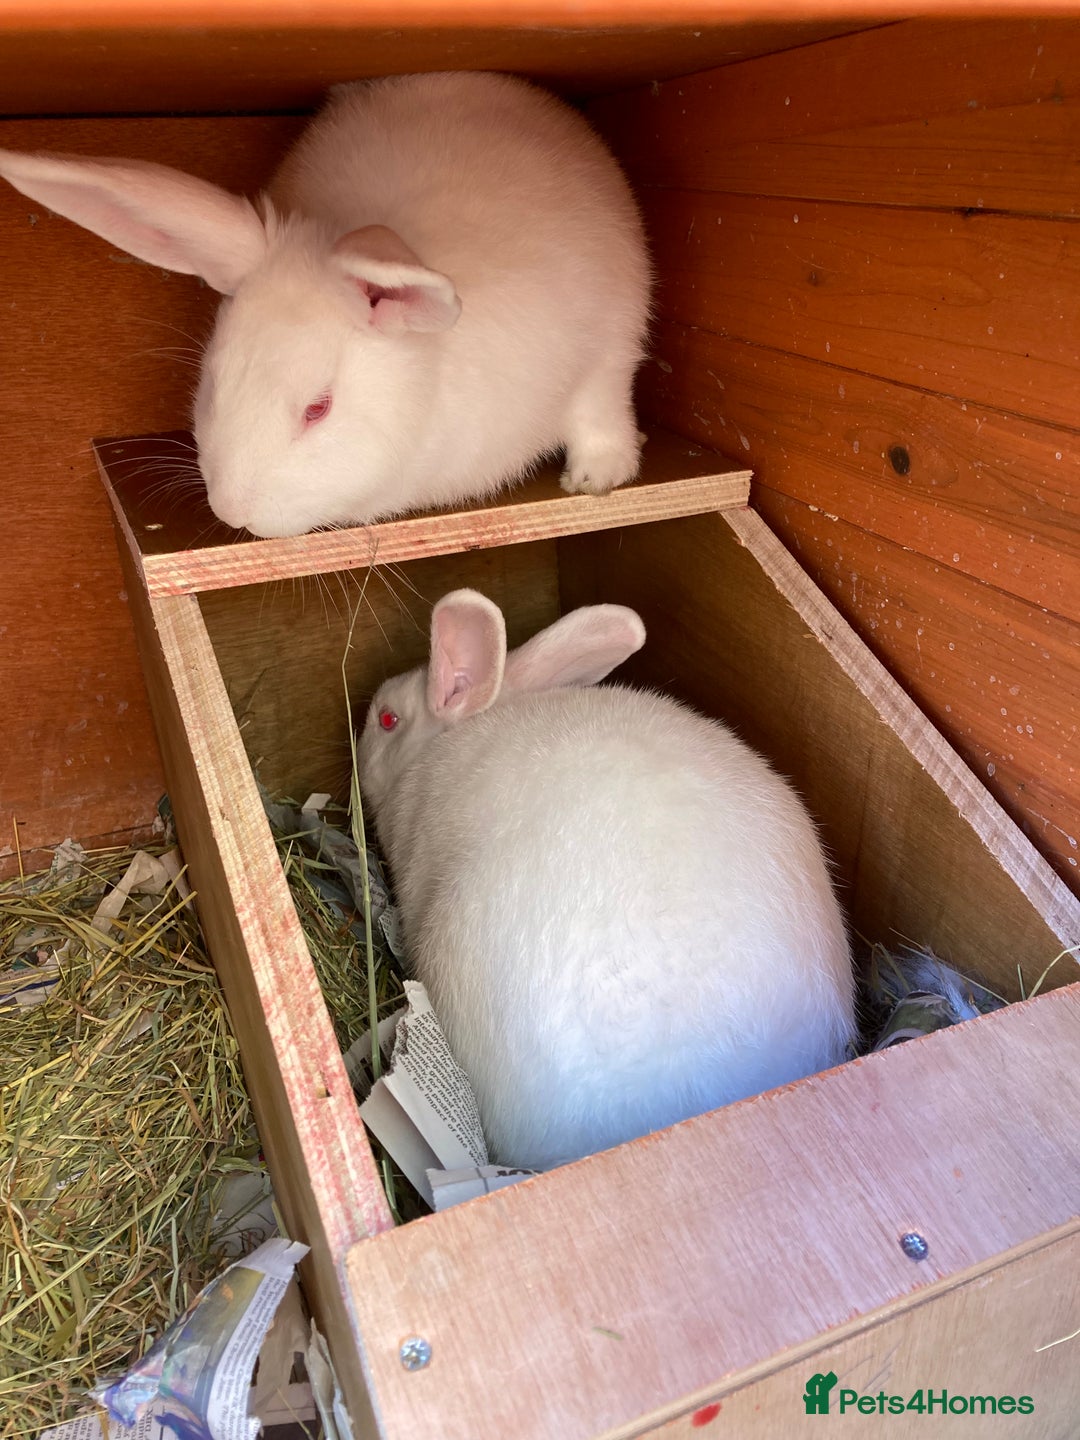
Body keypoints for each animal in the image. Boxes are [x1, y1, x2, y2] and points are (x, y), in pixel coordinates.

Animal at [0, 73, 651, 540]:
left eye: (318, 409)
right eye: (213, 382)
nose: (233, 512)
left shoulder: (604, 351)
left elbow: (598, 412)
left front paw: (596, 480)